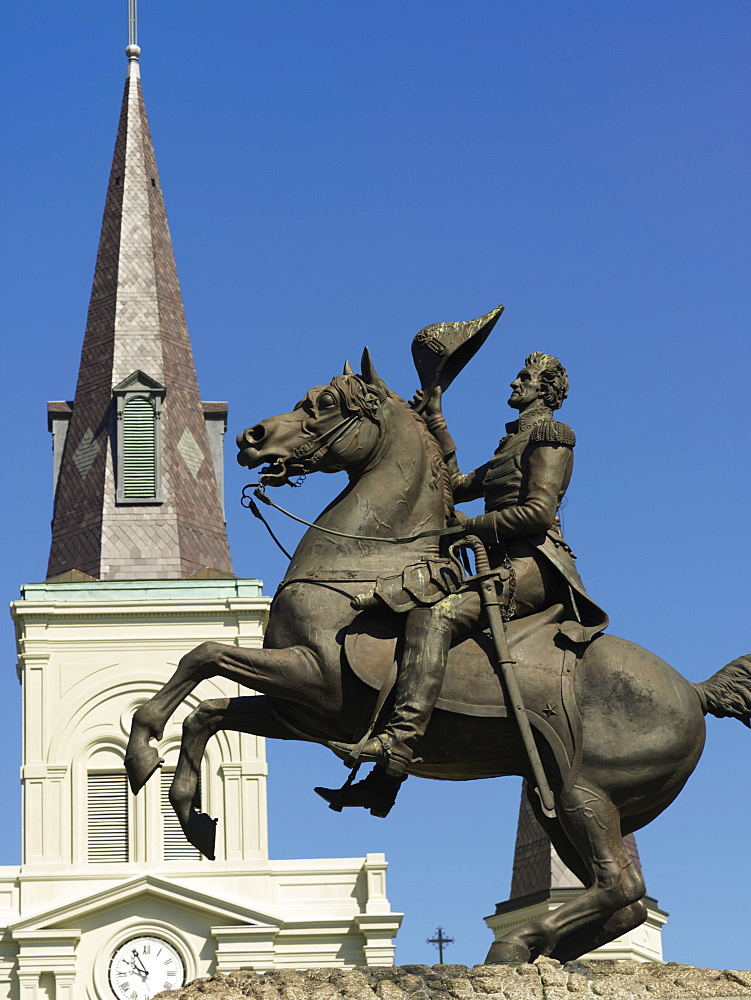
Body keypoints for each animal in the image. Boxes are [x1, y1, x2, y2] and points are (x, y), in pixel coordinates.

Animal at [126, 354, 751, 968]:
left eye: (324, 403)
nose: (251, 437)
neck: (361, 562)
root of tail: (694, 690)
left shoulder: (316, 681)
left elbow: (202, 655)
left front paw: (142, 752)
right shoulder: (299, 712)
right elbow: (208, 711)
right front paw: (190, 814)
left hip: (585, 792)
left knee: (620, 887)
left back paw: (517, 943)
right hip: (554, 798)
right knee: (626, 901)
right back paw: (536, 951)